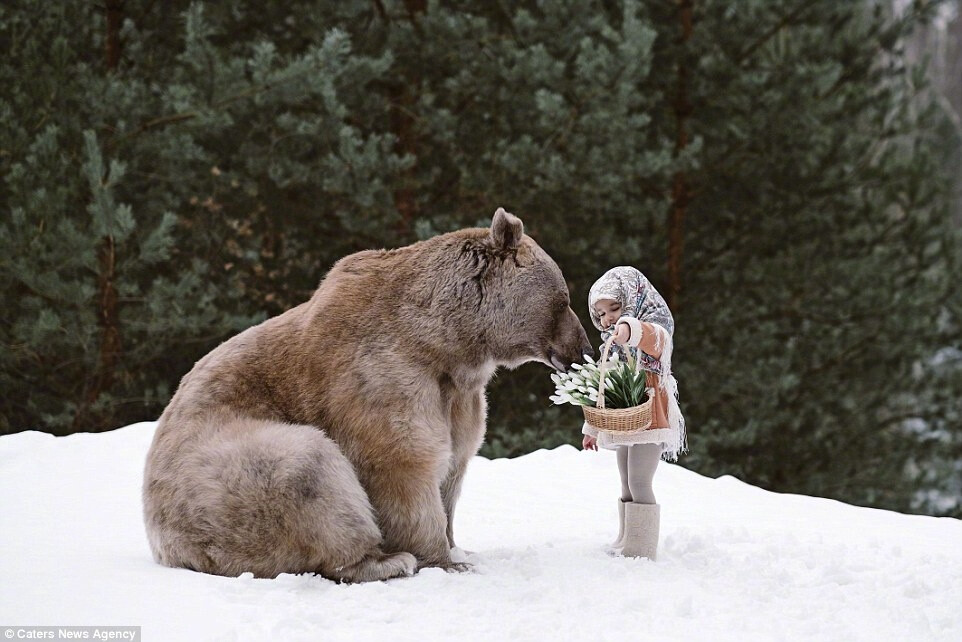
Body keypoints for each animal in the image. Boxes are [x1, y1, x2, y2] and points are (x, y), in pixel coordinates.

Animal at [141, 206, 592, 580]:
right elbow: (403, 460)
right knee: (308, 470)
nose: (582, 350)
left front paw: (459, 547)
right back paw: (383, 561)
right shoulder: (383, 374)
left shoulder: (459, 397)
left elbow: (455, 463)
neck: (446, 344)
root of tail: (165, 549)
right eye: (564, 299)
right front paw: (443, 559)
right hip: (220, 477)